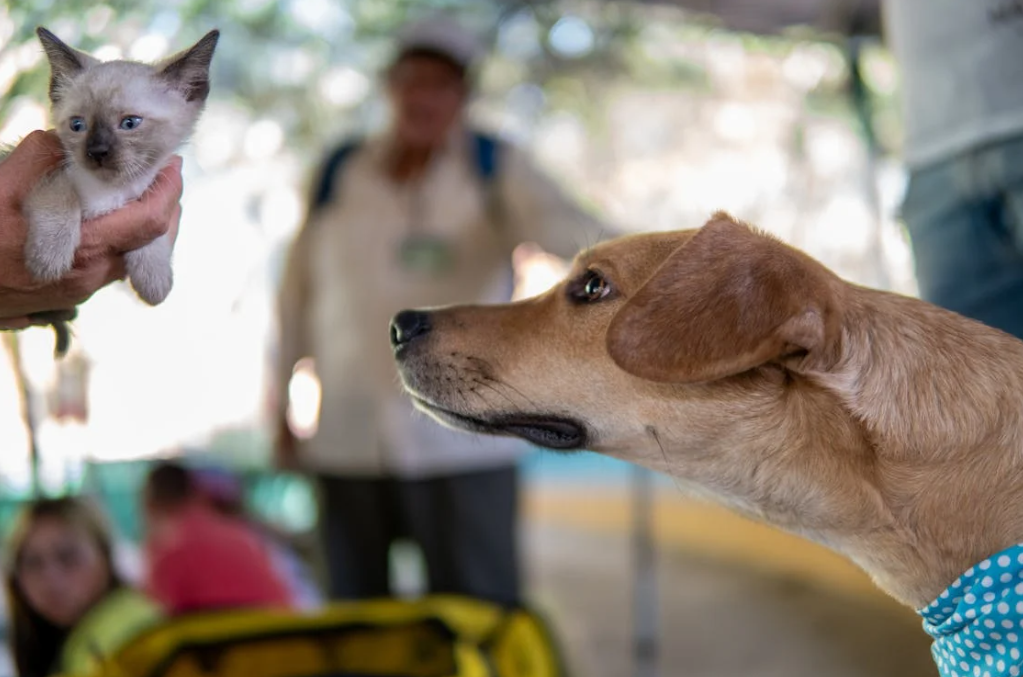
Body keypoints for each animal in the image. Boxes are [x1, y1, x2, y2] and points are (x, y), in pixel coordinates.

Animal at [23, 27, 217, 357]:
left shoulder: (148, 199)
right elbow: (62, 191)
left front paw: (154, 282)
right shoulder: (46, 174)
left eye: (130, 123)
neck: (111, 191)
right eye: (78, 125)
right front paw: (48, 262)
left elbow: (151, 235)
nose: (97, 152)